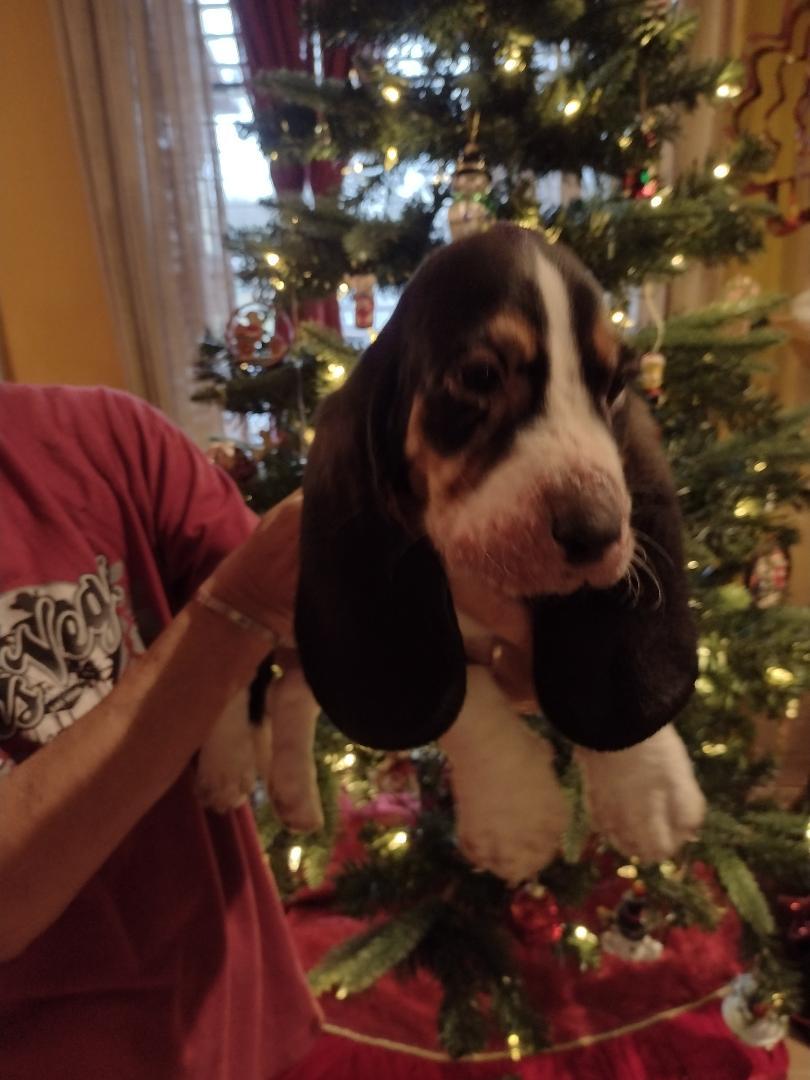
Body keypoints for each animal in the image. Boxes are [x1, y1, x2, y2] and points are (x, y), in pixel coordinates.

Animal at [290, 223, 706, 883]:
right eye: (481, 377)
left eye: (616, 386)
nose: (598, 532)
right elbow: (469, 701)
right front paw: (514, 815)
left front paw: (648, 790)